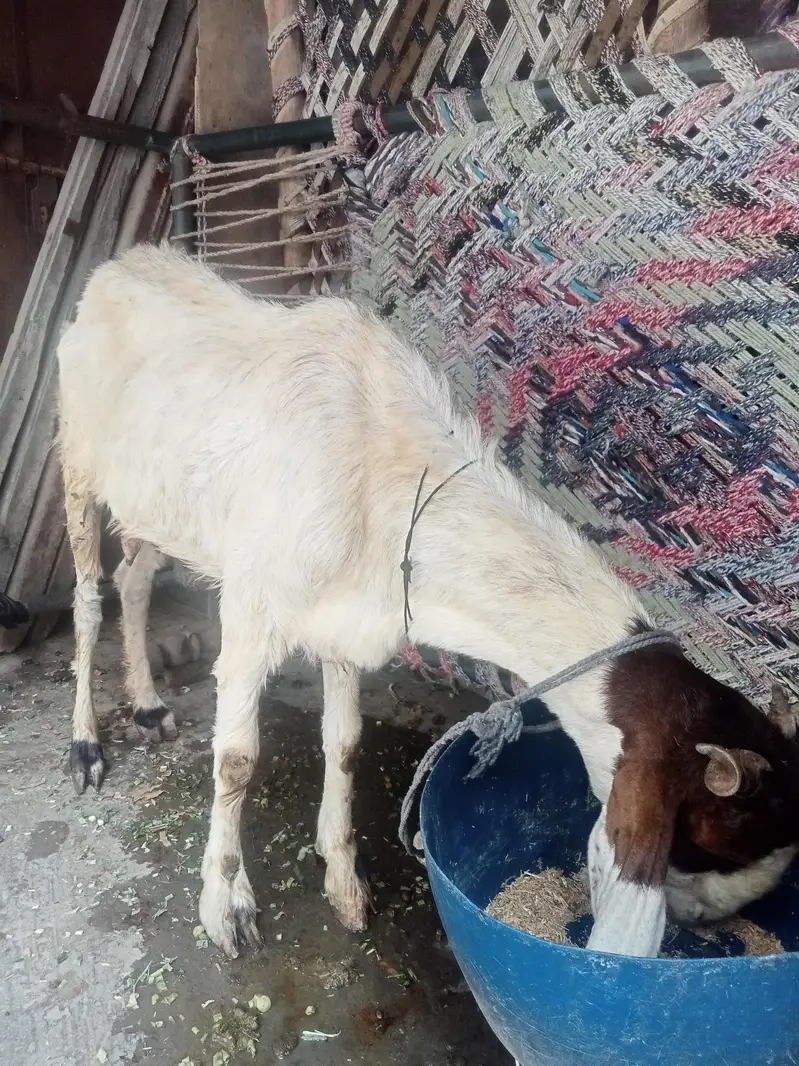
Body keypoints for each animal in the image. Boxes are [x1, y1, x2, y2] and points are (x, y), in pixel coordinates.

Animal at [56, 243, 799, 959]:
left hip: (159, 504)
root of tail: (117, 266)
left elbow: (345, 744)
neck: (382, 463)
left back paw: (149, 706)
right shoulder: (252, 610)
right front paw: (225, 909)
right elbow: (236, 760)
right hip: (77, 460)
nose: (704, 922)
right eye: (707, 839)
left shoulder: (346, 617)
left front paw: (345, 884)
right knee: (89, 600)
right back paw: (86, 745)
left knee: (136, 579)